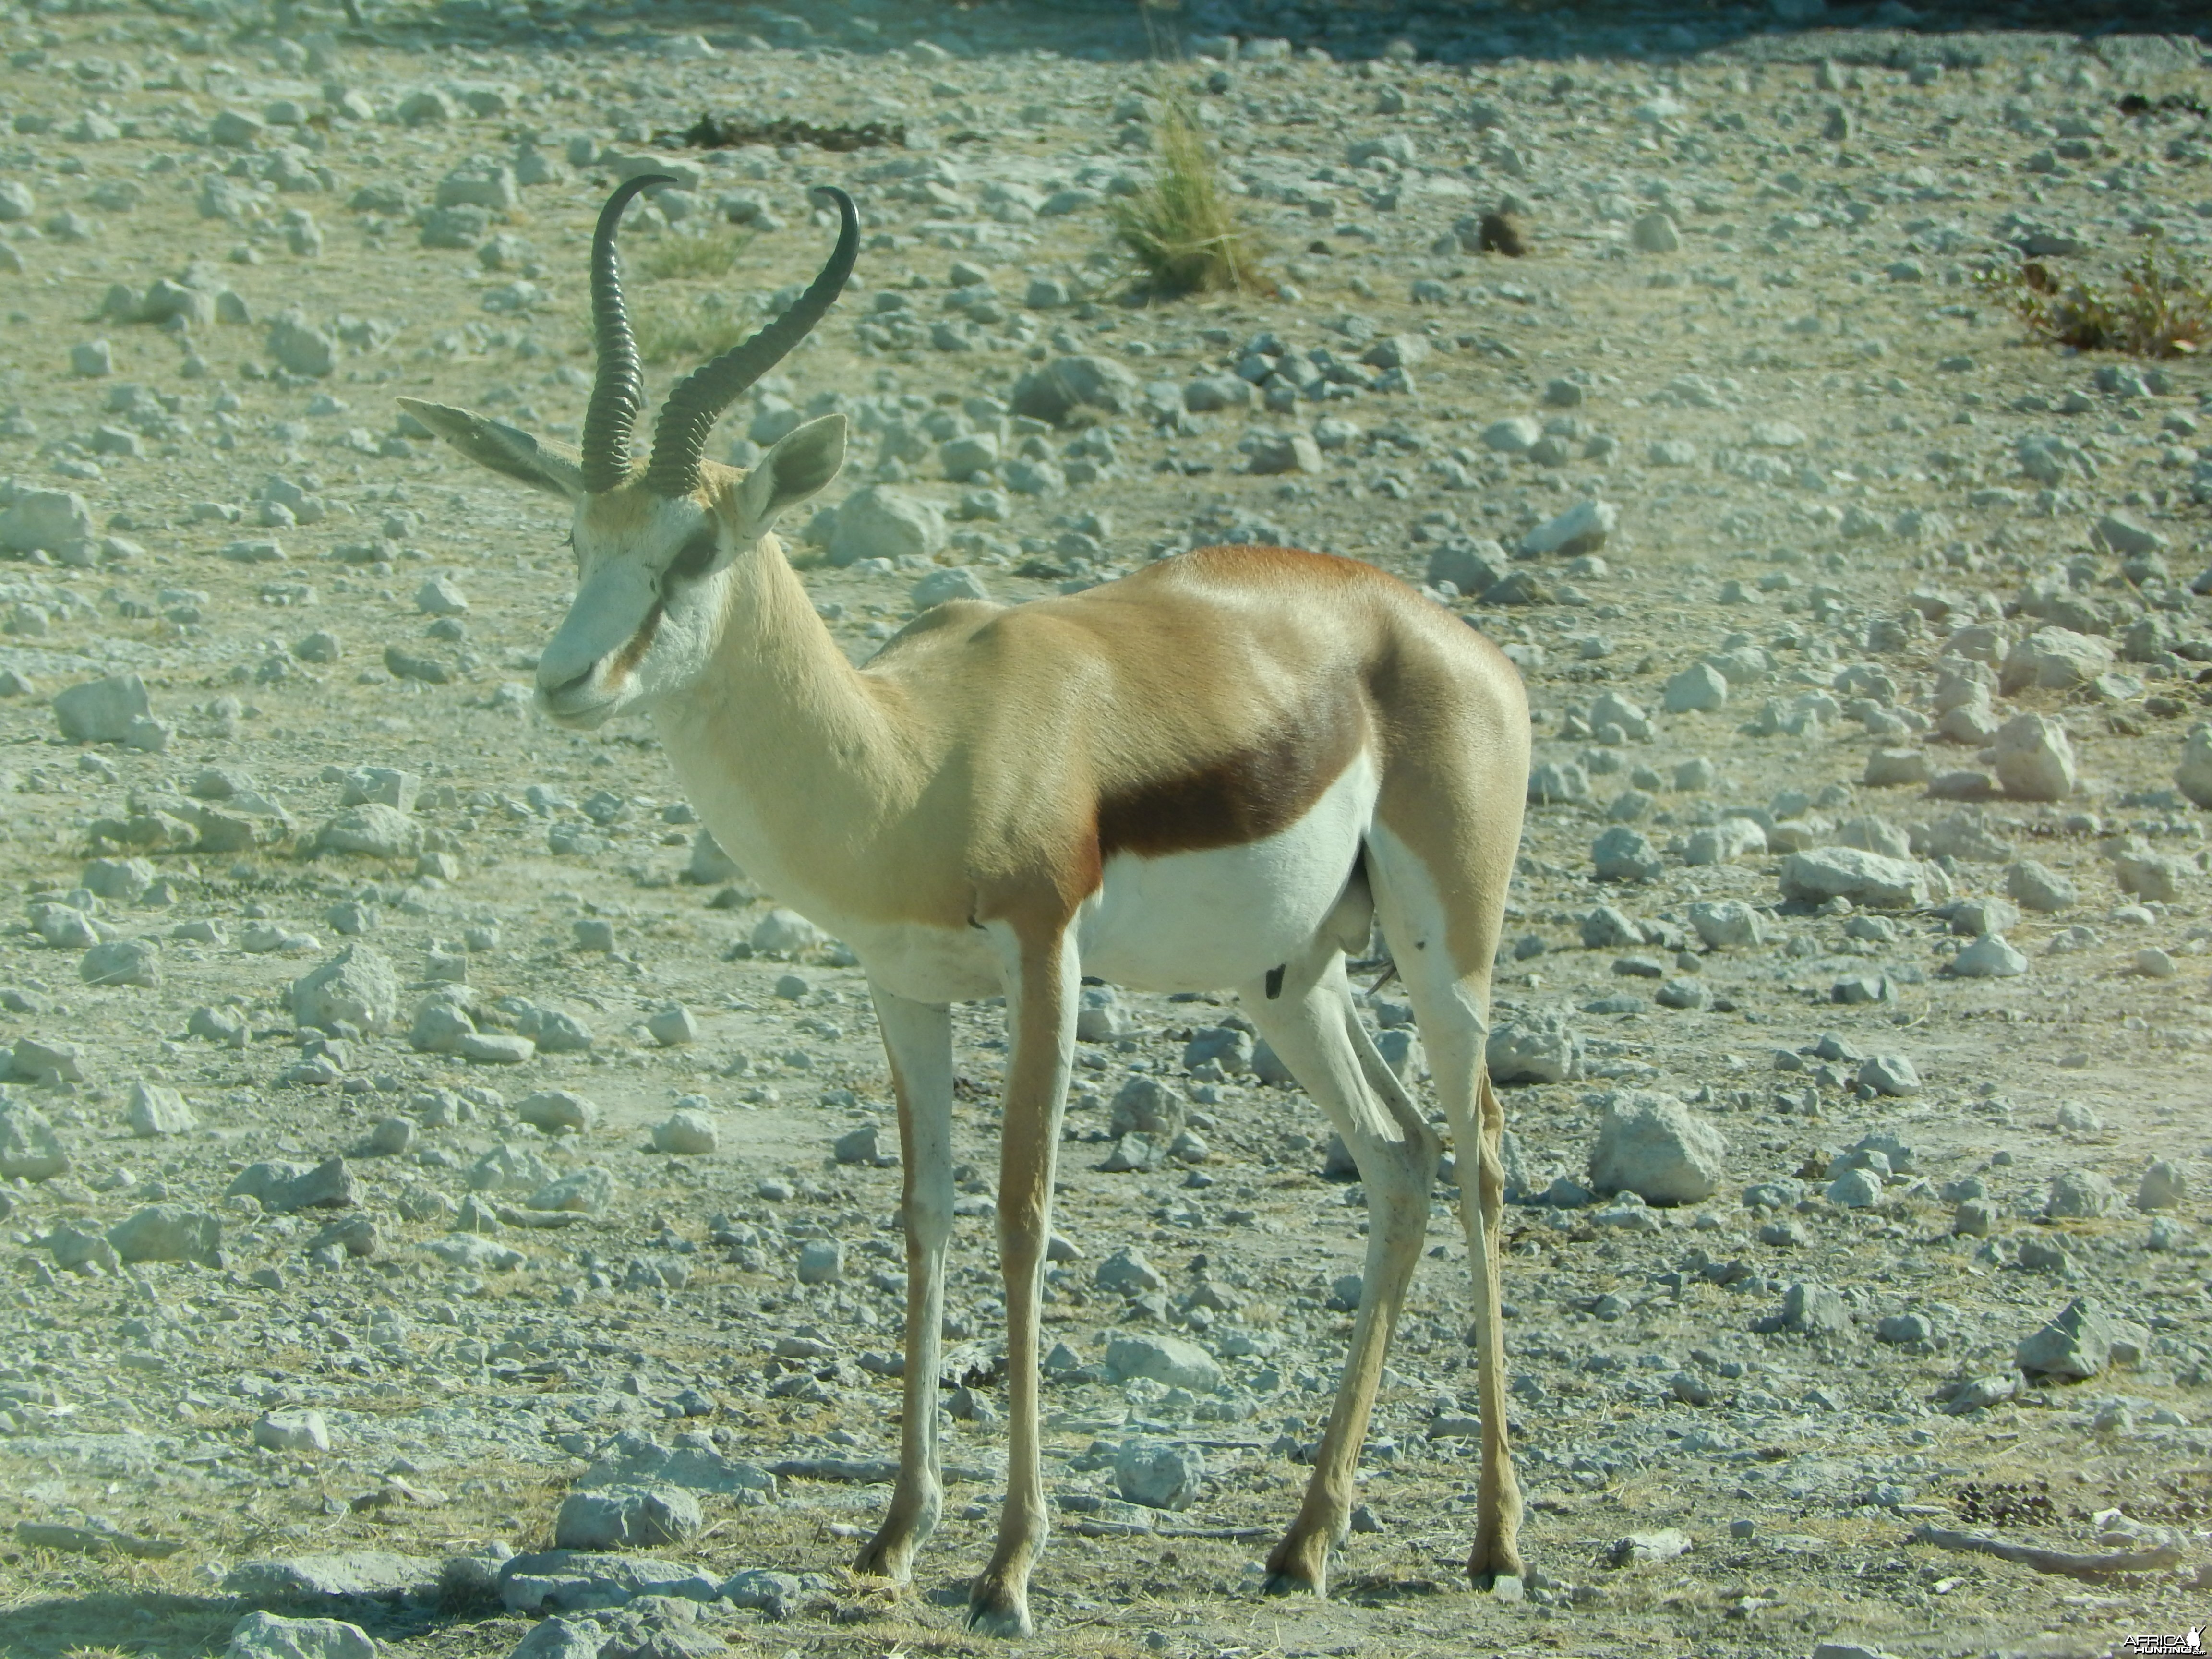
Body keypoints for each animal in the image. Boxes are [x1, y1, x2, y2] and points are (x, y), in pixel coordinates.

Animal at [402, 179, 1522, 1636]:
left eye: (696, 543)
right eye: (576, 534)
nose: (566, 678)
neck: (915, 754)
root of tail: (1451, 640)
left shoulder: (1045, 961)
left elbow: (1022, 1212)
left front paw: (1010, 1566)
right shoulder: (901, 985)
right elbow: (925, 1212)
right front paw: (893, 1534)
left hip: (1449, 953)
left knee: (1481, 1153)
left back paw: (1495, 1538)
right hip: (1289, 977)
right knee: (1399, 1155)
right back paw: (1303, 1539)